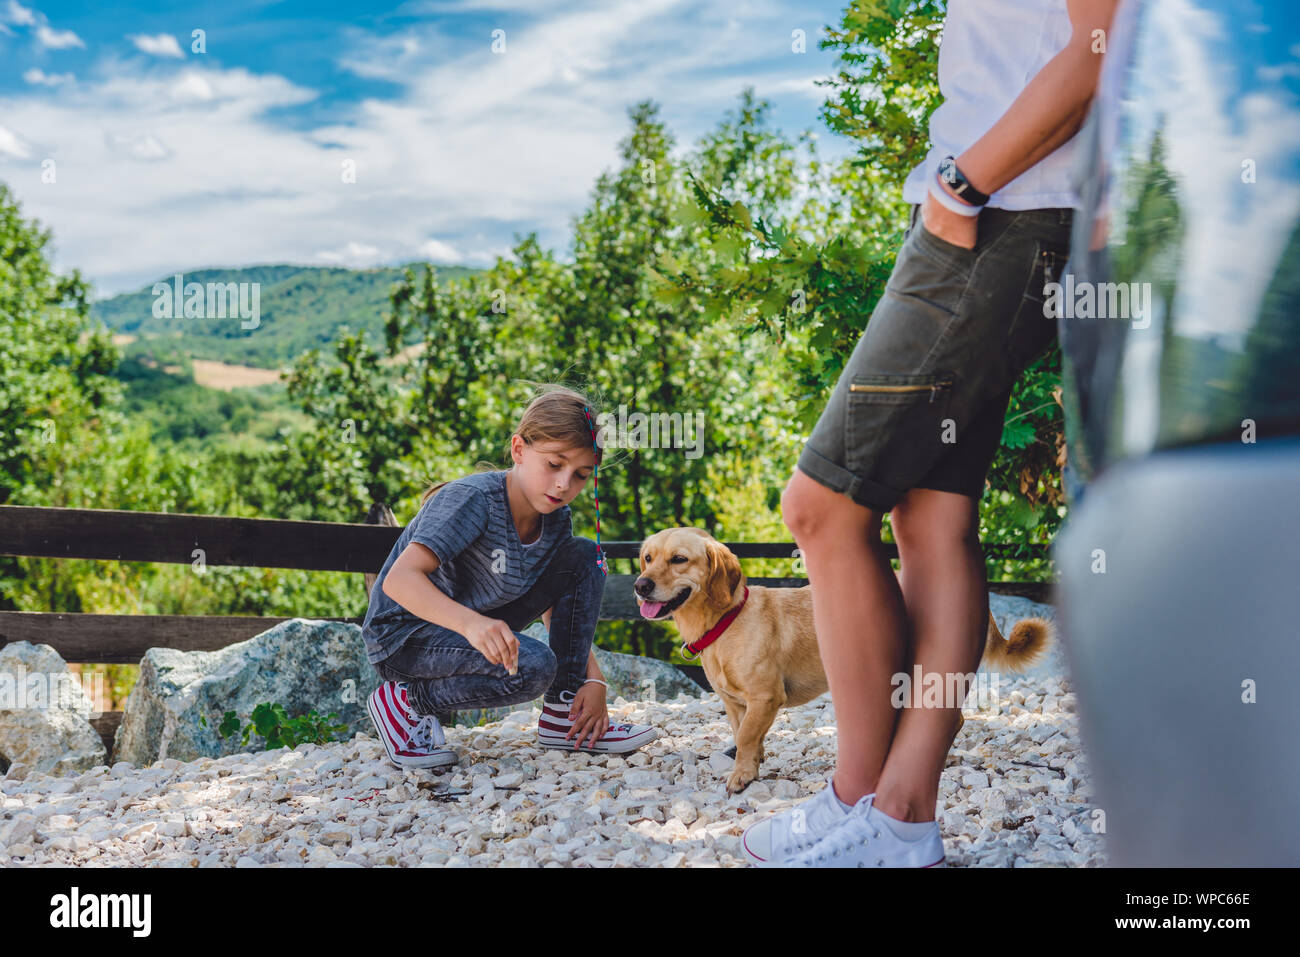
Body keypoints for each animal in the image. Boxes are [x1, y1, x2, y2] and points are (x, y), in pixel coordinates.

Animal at [634, 522, 1050, 790]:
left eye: (679, 559)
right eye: (647, 558)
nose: (639, 585)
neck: (727, 620)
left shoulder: (765, 697)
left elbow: (749, 736)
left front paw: (742, 775)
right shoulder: (735, 704)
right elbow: (744, 735)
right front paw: (752, 764)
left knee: (950, 719)